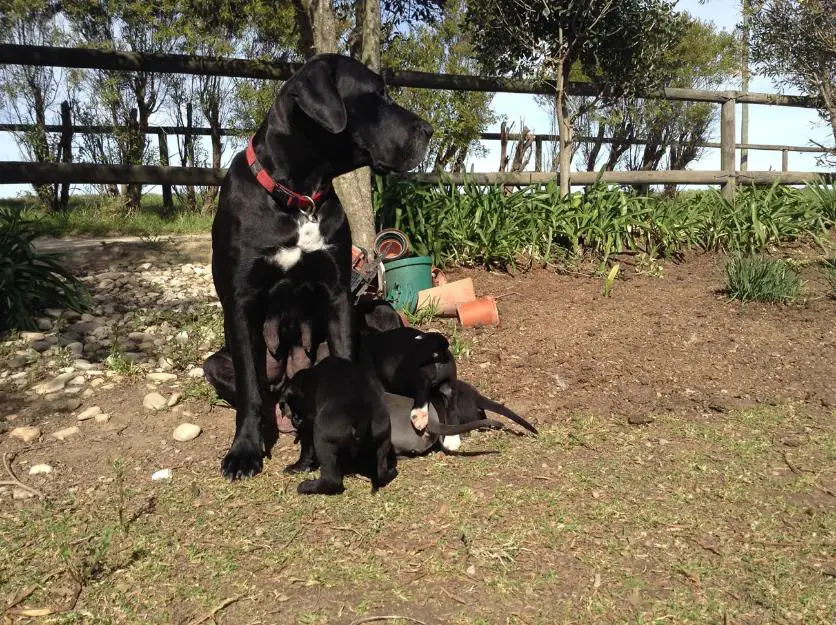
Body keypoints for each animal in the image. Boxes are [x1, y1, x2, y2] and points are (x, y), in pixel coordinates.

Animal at [280, 356, 398, 492]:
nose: (295, 419)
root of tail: (363, 413)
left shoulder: (308, 424)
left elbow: (306, 450)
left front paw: (296, 467)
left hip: (322, 439)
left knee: (332, 480)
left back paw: (307, 486)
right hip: (383, 440)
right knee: (381, 472)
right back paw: (391, 472)